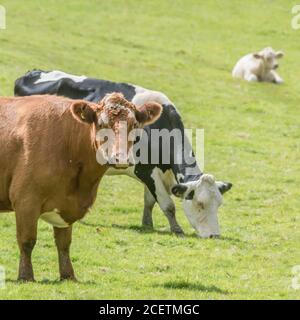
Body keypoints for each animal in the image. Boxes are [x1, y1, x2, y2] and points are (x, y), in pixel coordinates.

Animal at [0, 92, 162, 280]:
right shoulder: (26, 200)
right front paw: (26, 276)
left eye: (134, 125)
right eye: (102, 124)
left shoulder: (65, 205)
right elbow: (27, 241)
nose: (120, 158)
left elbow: (64, 243)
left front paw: (68, 275)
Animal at [15, 70, 233, 238]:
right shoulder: (145, 170)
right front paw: (177, 229)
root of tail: (32, 73)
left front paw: (147, 224)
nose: (214, 235)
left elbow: (149, 201)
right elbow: (167, 204)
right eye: (200, 204)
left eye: (219, 204)